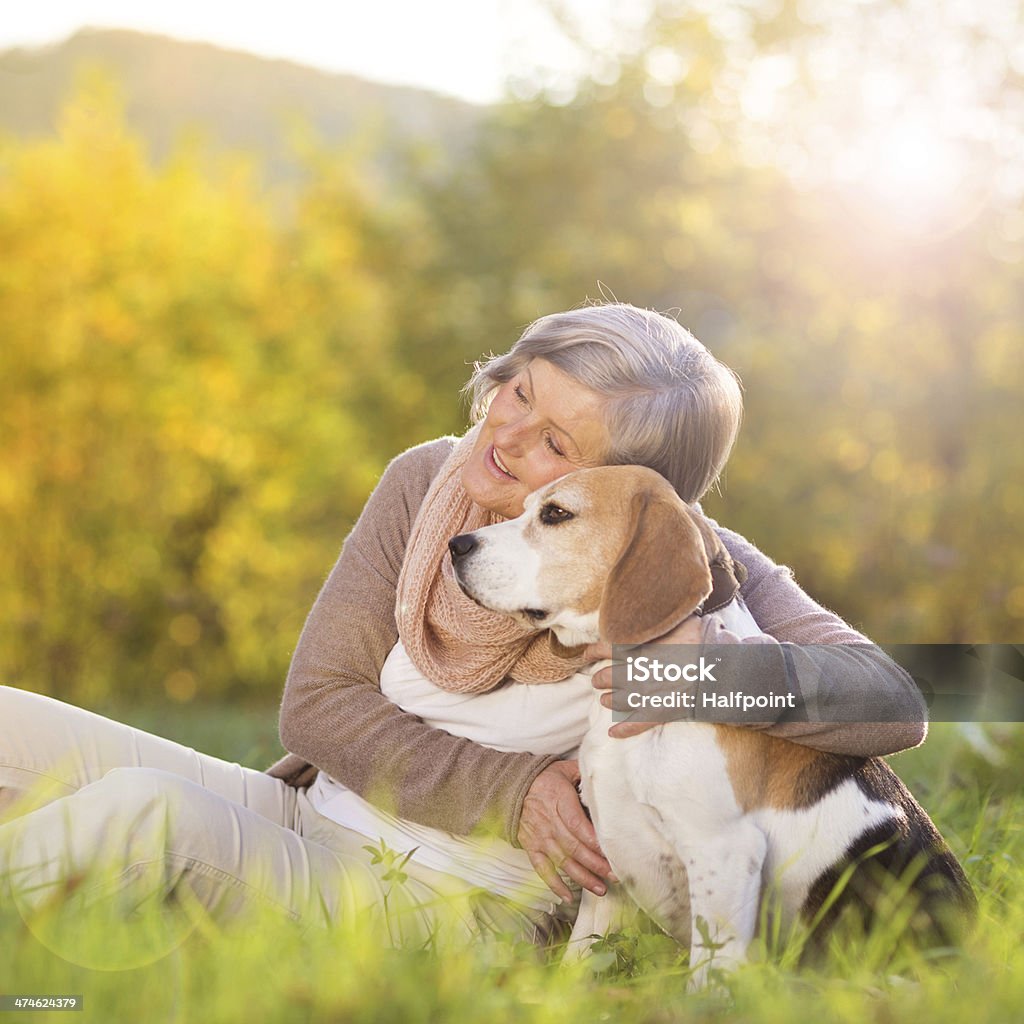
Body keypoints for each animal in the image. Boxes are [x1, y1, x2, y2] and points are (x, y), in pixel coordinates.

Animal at [448, 468, 974, 987]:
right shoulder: (609, 872)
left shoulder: (724, 854)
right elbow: (579, 962)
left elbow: (706, 979)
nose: (457, 545)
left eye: (556, 513)